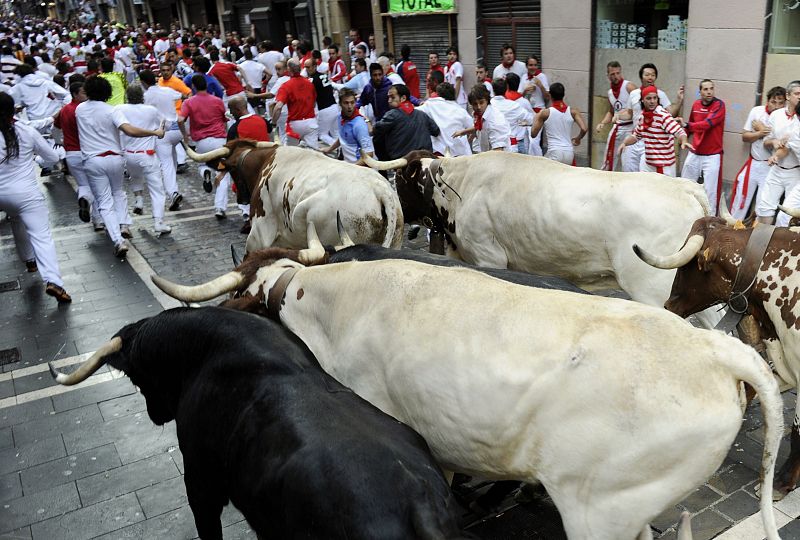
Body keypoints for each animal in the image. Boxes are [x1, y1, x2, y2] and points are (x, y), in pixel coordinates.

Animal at [185, 142, 404, 254]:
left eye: (232, 172)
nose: (240, 198)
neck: (265, 163)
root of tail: (380, 190)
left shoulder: (259, 236)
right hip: (394, 242)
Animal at [362, 151, 720, 324]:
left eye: (400, 179)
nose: (398, 208)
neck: (461, 185)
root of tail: (682, 186)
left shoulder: (488, 256)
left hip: (654, 290)